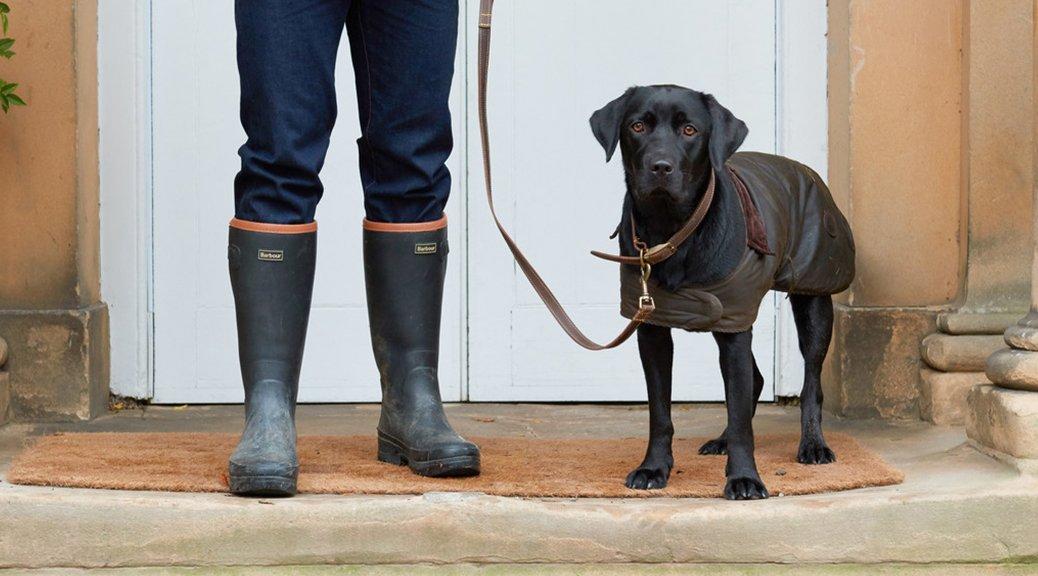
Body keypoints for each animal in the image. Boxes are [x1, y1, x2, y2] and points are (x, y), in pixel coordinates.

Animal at [589, 85, 855, 500]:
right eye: (637, 126)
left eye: (689, 130)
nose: (660, 166)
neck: (673, 229)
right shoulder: (654, 329)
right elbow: (660, 412)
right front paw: (654, 468)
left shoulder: (737, 326)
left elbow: (742, 410)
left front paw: (745, 477)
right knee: (755, 380)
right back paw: (722, 439)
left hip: (811, 301)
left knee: (810, 380)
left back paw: (812, 444)